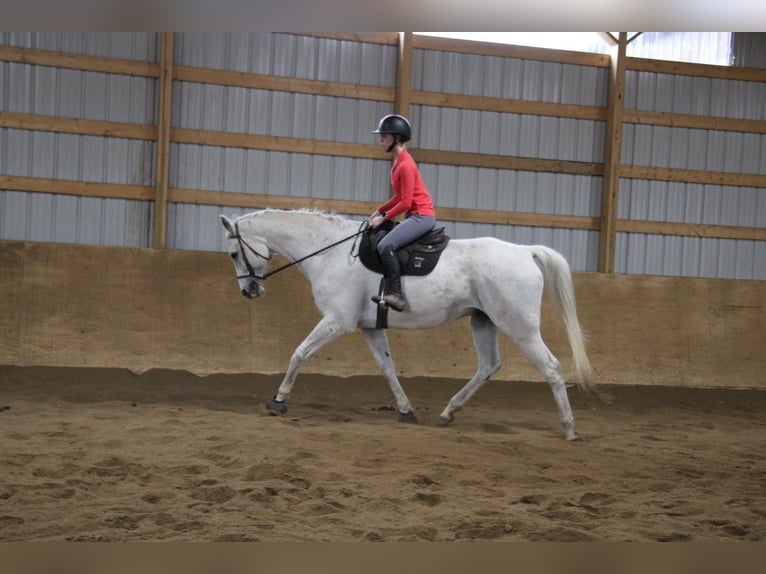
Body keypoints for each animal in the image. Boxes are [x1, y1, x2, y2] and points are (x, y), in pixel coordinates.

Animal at [219, 212, 596, 440]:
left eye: (235, 254)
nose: (249, 291)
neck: (330, 253)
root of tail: (525, 251)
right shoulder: (369, 327)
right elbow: (387, 368)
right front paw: (405, 410)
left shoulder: (337, 321)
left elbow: (298, 354)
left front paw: (278, 400)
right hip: (484, 321)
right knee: (488, 366)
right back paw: (448, 412)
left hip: (519, 327)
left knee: (551, 367)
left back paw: (569, 429)